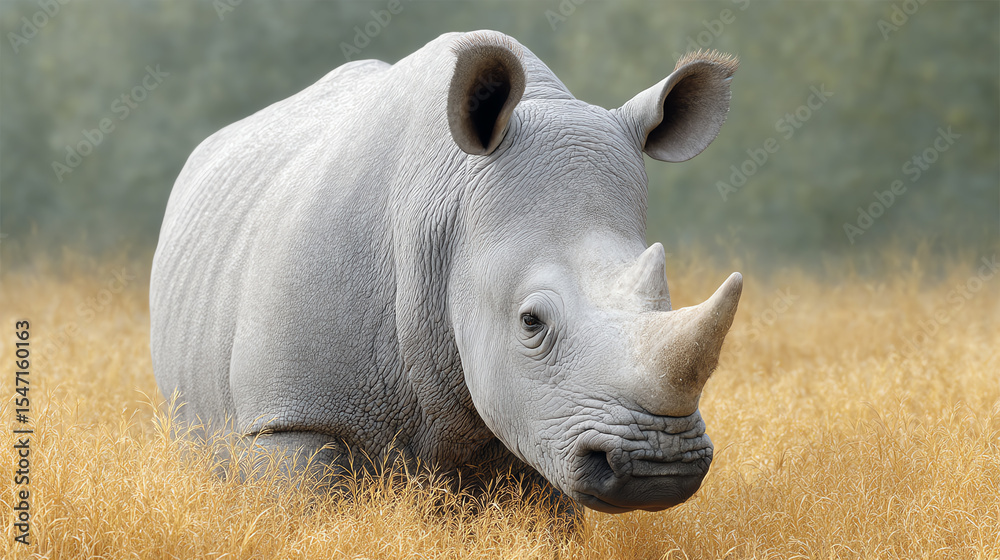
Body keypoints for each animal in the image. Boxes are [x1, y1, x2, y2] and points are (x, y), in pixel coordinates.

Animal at [150, 30, 742, 515]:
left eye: (664, 295)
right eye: (530, 322)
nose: (659, 467)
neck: (448, 220)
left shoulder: (541, 420)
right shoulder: (288, 420)